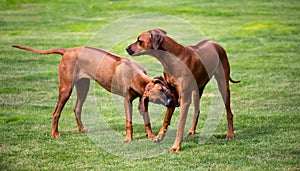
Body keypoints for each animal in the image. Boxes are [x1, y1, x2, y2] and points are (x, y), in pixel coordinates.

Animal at [13, 44, 173, 142]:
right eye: (161, 91)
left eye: (167, 90)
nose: (173, 102)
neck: (136, 76)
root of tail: (67, 51)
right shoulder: (127, 101)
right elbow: (129, 121)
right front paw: (128, 138)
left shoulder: (142, 99)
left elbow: (146, 119)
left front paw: (151, 135)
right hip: (66, 88)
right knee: (56, 112)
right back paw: (55, 134)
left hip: (83, 86)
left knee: (77, 108)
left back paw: (81, 129)